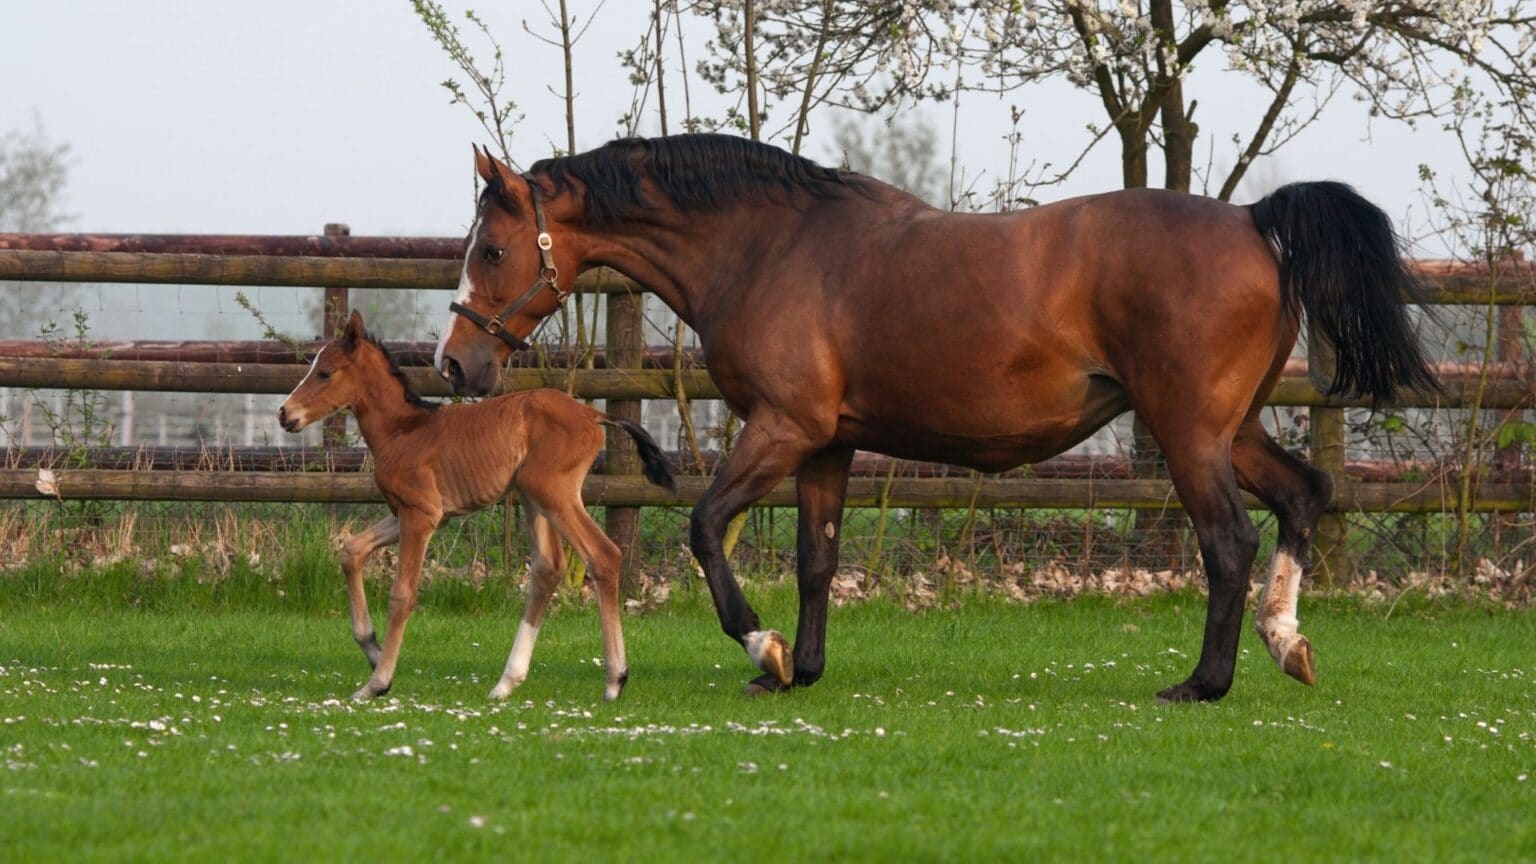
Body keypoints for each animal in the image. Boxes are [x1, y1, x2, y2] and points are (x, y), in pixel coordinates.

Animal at [278, 310, 676, 701]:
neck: (403, 431)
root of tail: (593, 415)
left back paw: (614, 680)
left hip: (553, 492)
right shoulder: (416, 513)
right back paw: (506, 683)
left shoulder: (420, 516)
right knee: (548, 568)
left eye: (325, 372)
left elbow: (402, 594)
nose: (284, 413)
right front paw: (372, 648)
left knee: (603, 555)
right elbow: (352, 551)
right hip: (533, 497)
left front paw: (377, 682)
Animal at [432, 134, 1436, 702]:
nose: (454, 364)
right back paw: (1287, 643)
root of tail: (1253, 221)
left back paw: (1204, 683)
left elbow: (707, 526)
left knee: (1229, 542)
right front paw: (798, 669)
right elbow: (817, 559)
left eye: (492, 250)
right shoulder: (828, 445)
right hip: (1232, 430)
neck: (771, 246)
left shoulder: (783, 427)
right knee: (1306, 495)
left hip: (1189, 434)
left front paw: (761, 644)